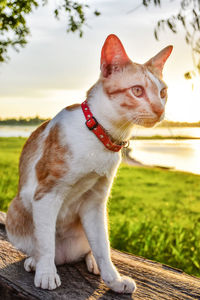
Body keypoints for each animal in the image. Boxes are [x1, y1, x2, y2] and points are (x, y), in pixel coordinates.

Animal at [5, 34, 173, 292]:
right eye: (137, 91)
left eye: (162, 92)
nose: (159, 109)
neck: (100, 135)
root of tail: (65, 256)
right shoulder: (47, 194)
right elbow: (45, 242)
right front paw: (46, 273)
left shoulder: (95, 201)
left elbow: (102, 246)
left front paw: (113, 280)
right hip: (15, 212)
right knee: (40, 246)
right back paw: (35, 261)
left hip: (100, 216)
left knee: (95, 243)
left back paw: (91, 261)